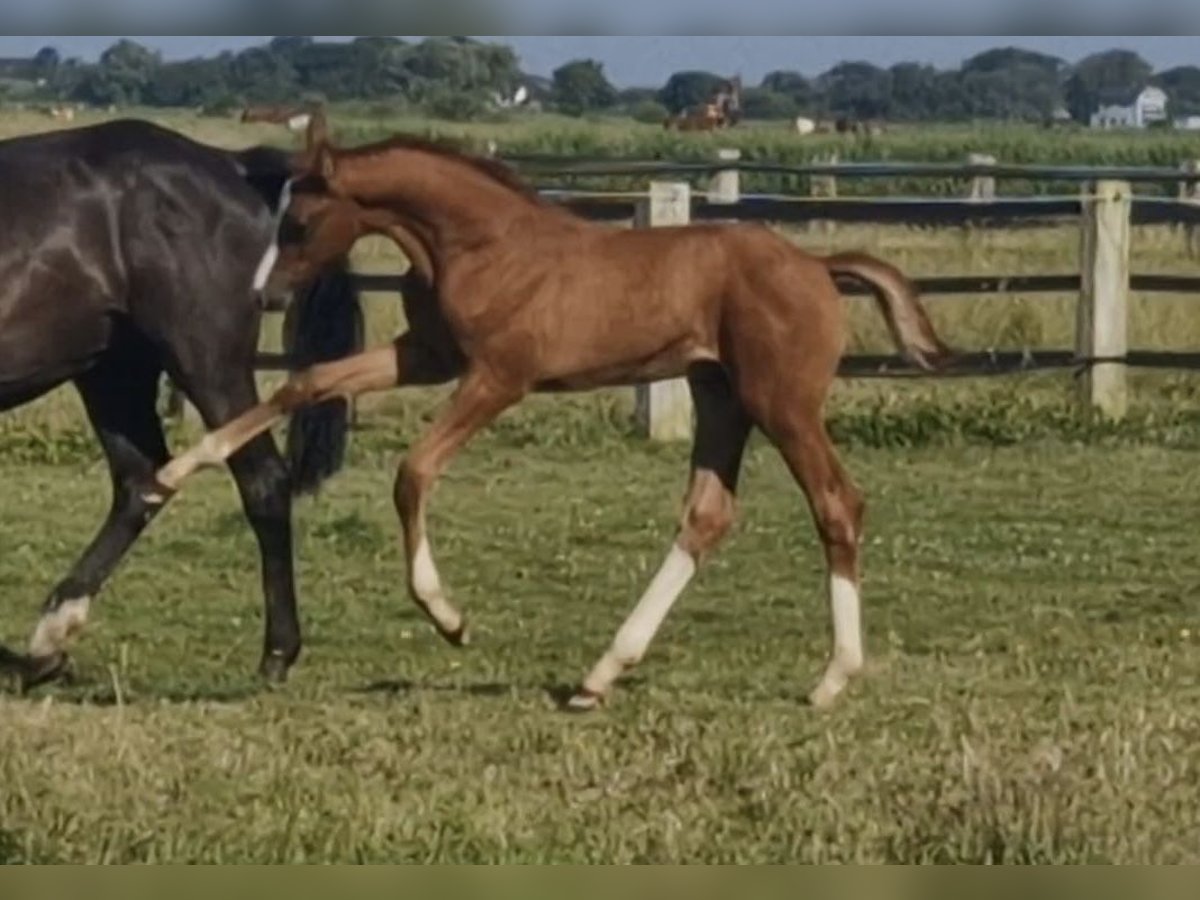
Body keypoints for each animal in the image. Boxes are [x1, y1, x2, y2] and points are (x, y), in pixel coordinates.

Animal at [0, 121, 360, 691]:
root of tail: (233, 165)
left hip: (206, 362)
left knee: (262, 481)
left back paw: (277, 654)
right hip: (113, 371)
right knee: (141, 482)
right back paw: (47, 644)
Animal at [159, 118, 950, 710]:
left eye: (298, 220)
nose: (263, 295)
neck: (482, 245)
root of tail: (817, 267)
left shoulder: (498, 377)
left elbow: (413, 472)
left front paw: (449, 618)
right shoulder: (428, 354)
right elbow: (305, 383)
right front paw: (177, 468)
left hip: (779, 401)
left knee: (836, 503)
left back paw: (832, 678)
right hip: (718, 394)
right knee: (707, 515)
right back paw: (601, 675)